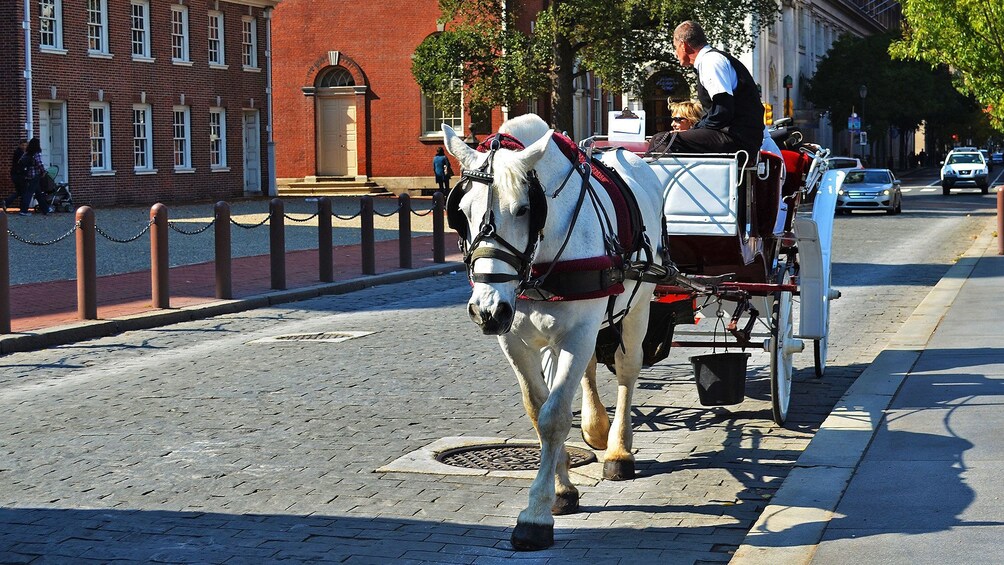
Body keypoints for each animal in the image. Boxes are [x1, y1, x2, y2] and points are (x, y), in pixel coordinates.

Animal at [441, 112, 666, 549]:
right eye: (460, 210)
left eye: (524, 208)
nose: (486, 310)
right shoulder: (514, 338)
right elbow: (538, 407)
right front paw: (562, 489)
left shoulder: (578, 331)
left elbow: (555, 416)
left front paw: (536, 514)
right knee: (591, 368)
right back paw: (597, 428)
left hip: (638, 307)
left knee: (627, 370)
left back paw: (618, 451)